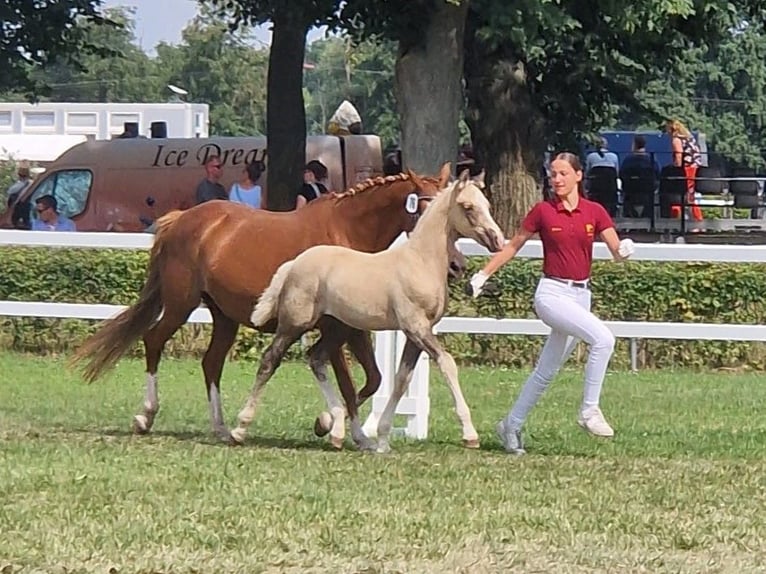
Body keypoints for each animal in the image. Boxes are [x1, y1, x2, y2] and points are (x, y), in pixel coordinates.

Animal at [69, 163, 460, 450]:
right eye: (426, 209)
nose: (455, 265)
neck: (348, 233)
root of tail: (182, 218)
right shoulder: (332, 327)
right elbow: (349, 383)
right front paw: (336, 427)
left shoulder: (353, 328)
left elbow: (373, 380)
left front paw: (335, 425)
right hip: (181, 304)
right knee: (154, 341)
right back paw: (146, 416)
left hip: (224, 316)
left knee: (211, 363)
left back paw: (221, 427)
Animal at [237, 171, 508, 454]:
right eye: (467, 207)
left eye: (487, 205)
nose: (497, 240)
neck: (420, 262)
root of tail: (294, 263)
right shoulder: (416, 327)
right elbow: (447, 363)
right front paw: (470, 434)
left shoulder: (418, 333)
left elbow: (401, 379)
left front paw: (383, 439)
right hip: (294, 324)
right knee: (270, 360)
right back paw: (240, 429)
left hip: (337, 327)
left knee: (316, 358)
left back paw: (334, 429)